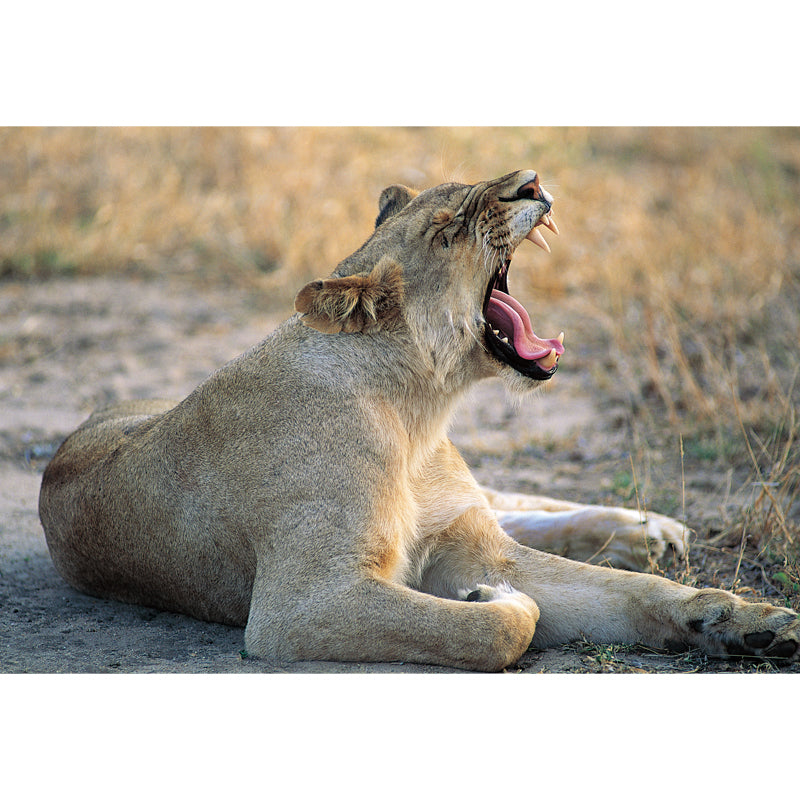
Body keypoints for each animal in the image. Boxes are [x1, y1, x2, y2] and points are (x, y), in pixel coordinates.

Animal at [39, 169, 799, 671]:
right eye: (449, 230)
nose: (531, 180)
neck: (421, 415)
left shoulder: (468, 542)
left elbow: (634, 592)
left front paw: (743, 619)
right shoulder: (301, 603)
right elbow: (496, 631)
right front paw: (498, 602)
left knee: (510, 503)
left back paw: (651, 531)